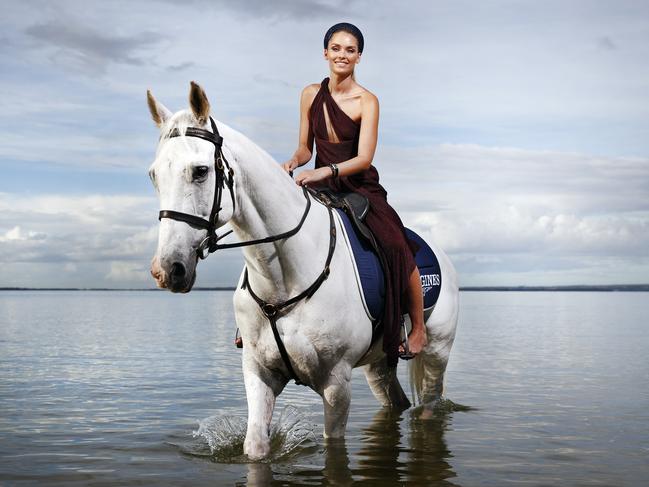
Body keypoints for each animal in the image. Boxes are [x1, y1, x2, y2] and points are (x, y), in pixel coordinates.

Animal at [148, 81, 460, 462]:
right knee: (395, 402)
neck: (281, 278)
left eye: (200, 171)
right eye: (154, 175)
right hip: (379, 364)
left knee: (429, 405)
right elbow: (255, 447)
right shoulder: (258, 373)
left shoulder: (337, 383)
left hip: (436, 353)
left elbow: (334, 447)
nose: (168, 269)